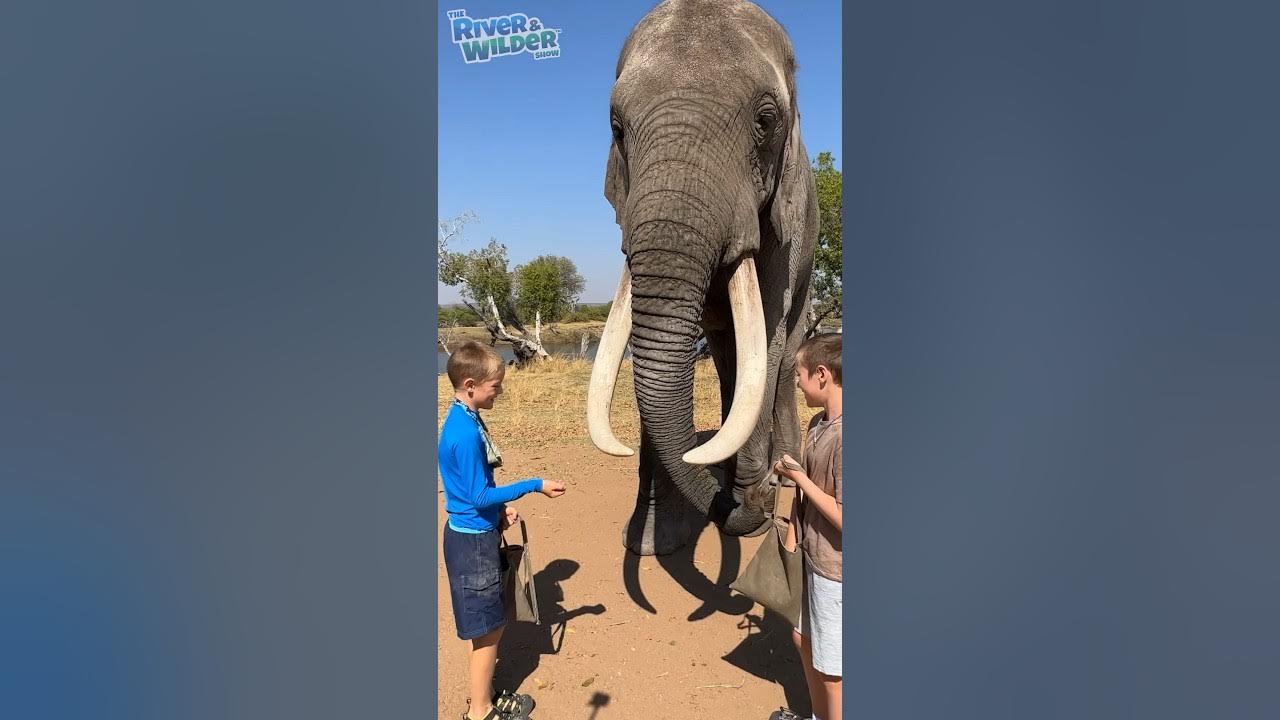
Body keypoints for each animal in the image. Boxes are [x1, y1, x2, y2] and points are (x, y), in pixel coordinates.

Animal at [587, 0, 819, 556]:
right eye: (617, 128)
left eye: (766, 121)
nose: (762, 496)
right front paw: (651, 542)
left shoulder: (787, 218)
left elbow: (770, 333)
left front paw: (757, 503)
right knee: (728, 354)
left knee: (780, 359)